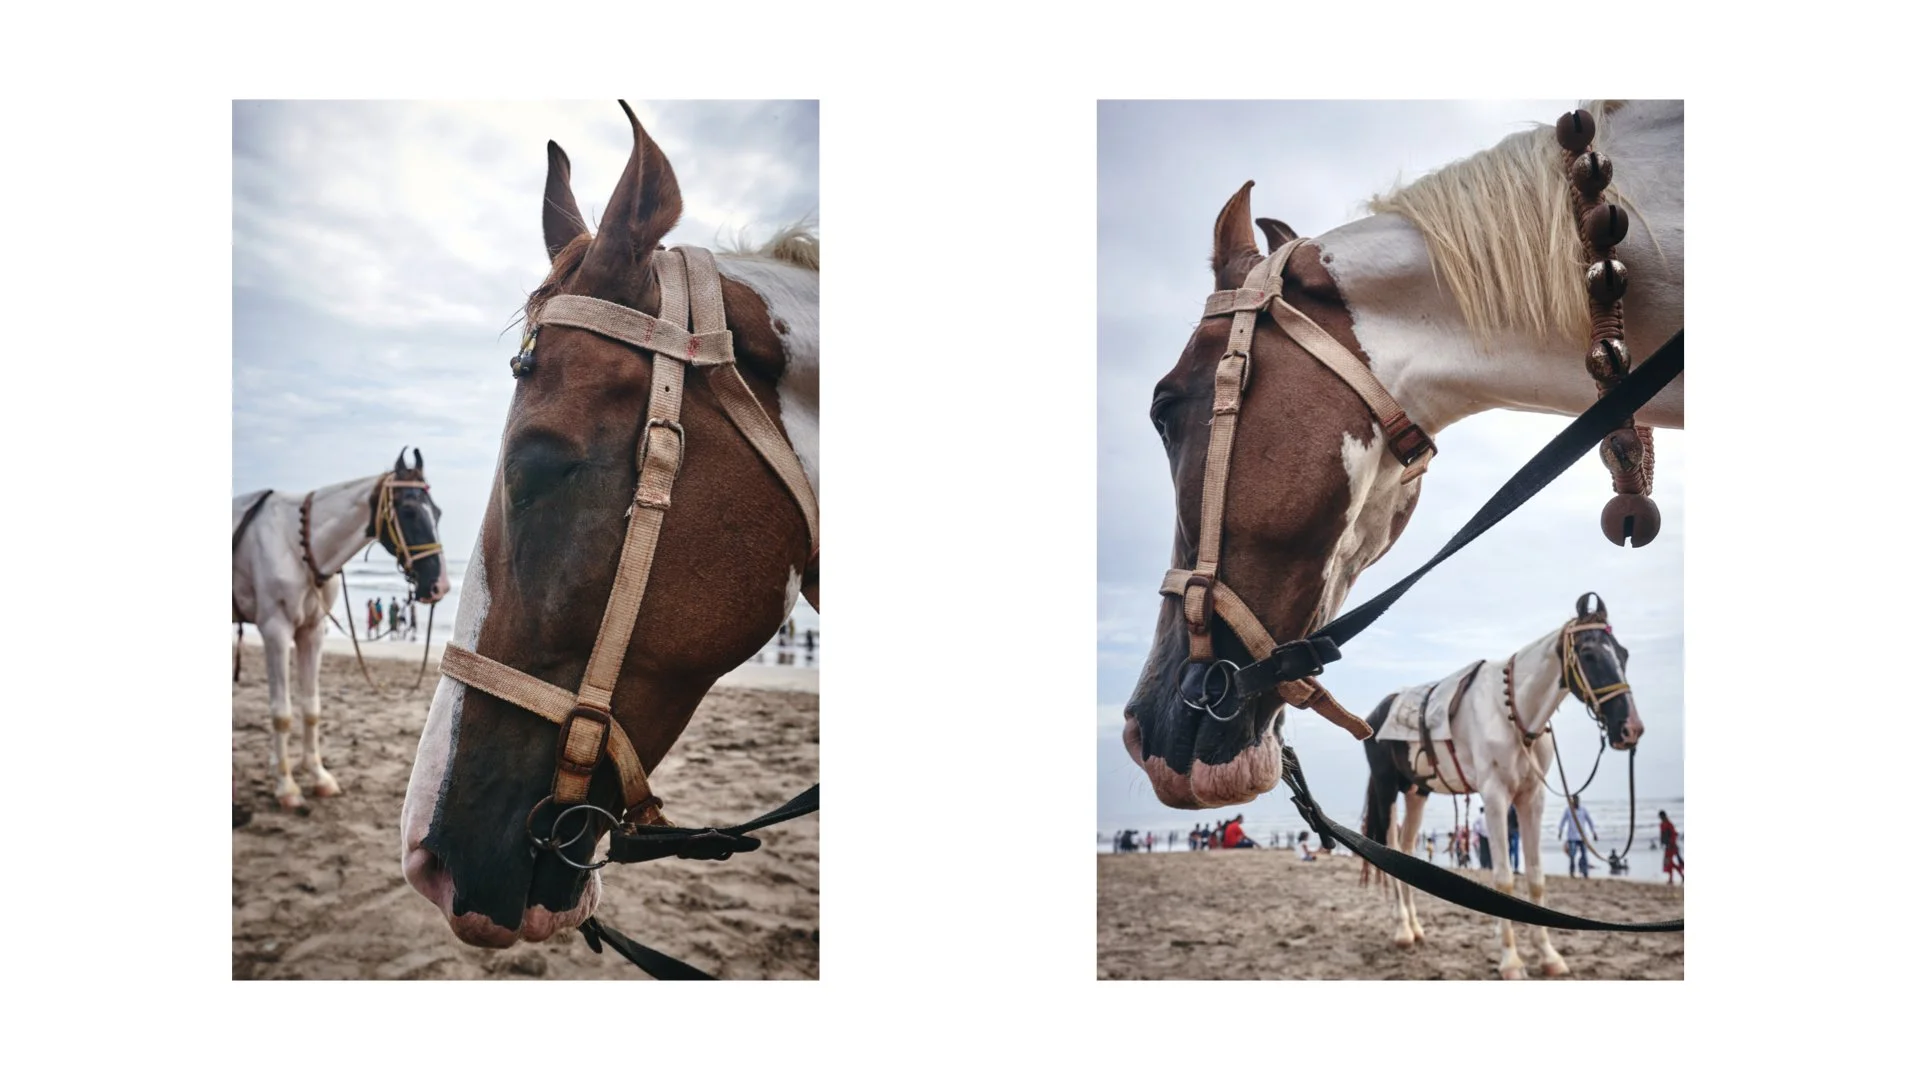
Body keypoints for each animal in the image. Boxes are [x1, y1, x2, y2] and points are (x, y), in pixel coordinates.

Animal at [232, 449, 449, 809]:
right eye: (408, 509)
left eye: (438, 512)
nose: (440, 585)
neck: (298, 545)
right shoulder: (275, 631)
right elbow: (282, 713)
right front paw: (286, 786)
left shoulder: (312, 632)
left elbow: (311, 708)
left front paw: (318, 777)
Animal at [1357, 592, 1642, 978]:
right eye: (1589, 653)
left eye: (1623, 653)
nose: (1630, 729)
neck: (1513, 711)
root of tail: (1375, 714)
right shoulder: (1494, 797)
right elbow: (1504, 879)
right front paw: (1511, 961)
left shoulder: (1531, 799)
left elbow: (1536, 878)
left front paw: (1548, 955)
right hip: (1387, 789)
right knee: (1388, 847)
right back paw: (1402, 931)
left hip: (1418, 793)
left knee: (1405, 848)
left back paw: (1415, 929)